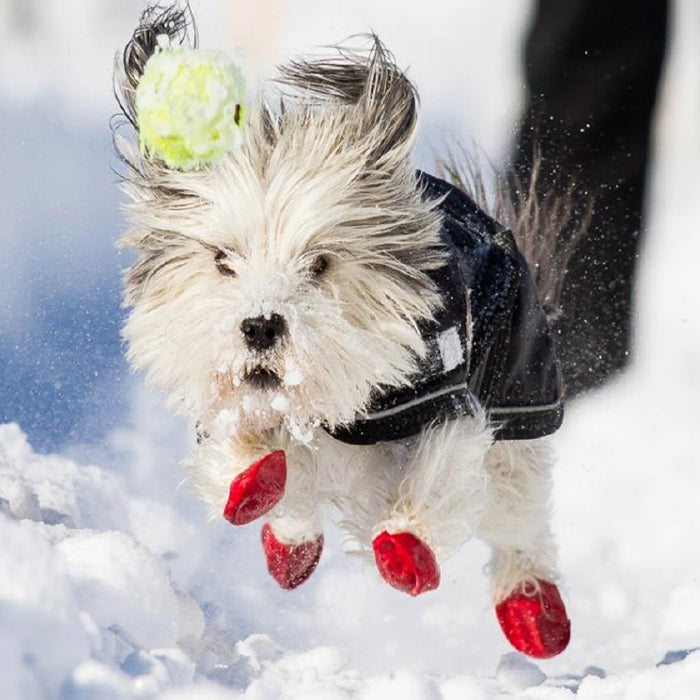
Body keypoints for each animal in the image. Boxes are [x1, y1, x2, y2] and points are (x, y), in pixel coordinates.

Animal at [115, 4, 572, 656]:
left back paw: (534, 611)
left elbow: (439, 469)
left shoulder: (446, 402)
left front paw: (406, 545)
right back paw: (289, 543)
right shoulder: (238, 406)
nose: (260, 325)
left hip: (520, 401)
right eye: (223, 260)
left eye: (321, 263)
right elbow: (245, 455)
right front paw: (252, 479)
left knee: (517, 517)